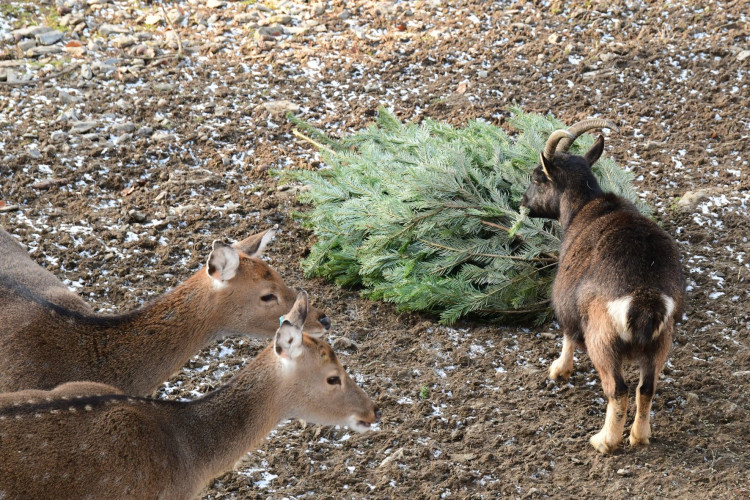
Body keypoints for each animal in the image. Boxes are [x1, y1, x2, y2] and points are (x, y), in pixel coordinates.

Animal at [524, 120, 688, 454]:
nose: (523, 201)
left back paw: (604, 442)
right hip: (662, 340)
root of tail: (644, 294)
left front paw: (558, 370)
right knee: (647, 387)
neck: (586, 206)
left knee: (618, 389)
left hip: (602, 340)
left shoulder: (568, 303)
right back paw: (639, 437)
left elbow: (568, 335)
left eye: (537, 176)